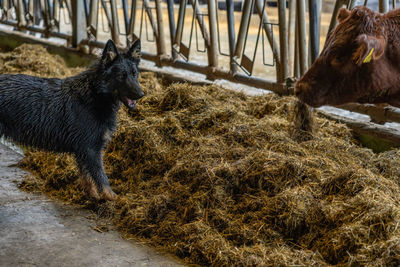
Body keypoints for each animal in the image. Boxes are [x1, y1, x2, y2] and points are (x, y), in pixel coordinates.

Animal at [0, 38, 144, 200]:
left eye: (134, 74)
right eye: (120, 76)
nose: (141, 94)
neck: (94, 93)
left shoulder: (83, 150)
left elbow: (87, 177)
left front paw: (93, 196)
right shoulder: (91, 150)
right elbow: (101, 177)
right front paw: (112, 198)